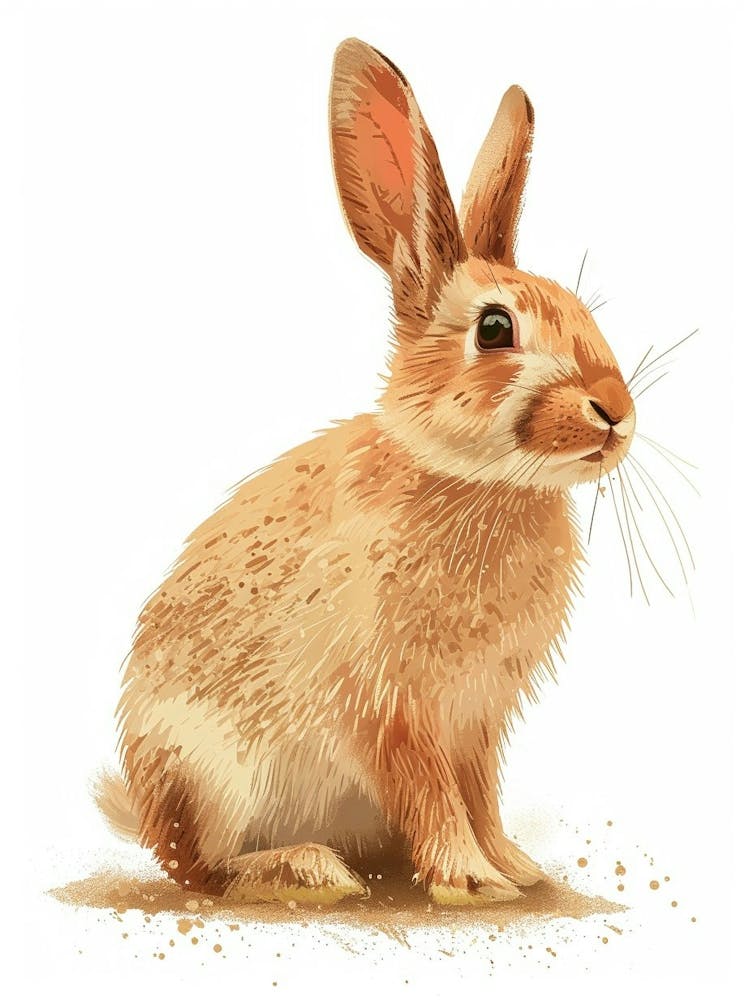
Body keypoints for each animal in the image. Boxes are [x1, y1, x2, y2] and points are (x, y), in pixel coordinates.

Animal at [97, 37, 636, 906]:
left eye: (581, 310)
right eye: (494, 329)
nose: (615, 411)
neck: (478, 482)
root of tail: (142, 810)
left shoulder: (476, 719)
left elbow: (479, 794)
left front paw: (516, 868)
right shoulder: (390, 706)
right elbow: (430, 791)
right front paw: (469, 881)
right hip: (206, 776)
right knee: (201, 870)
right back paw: (305, 868)